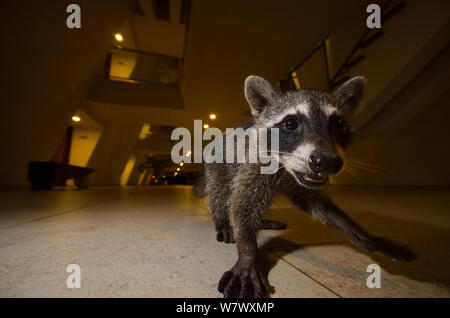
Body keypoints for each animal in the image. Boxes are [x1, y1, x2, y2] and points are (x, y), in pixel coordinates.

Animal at [195, 75, 416, 298]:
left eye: (339, 123)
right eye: (291, 123)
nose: (326, 161)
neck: (286, 168)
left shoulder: (302, 181)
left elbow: (319, 206)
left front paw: (359, 231)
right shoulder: (255, 164)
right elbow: (243, 203)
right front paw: (247, 252)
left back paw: (262, 221)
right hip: (218, 164)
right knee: (221, 192)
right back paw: (223, 220)